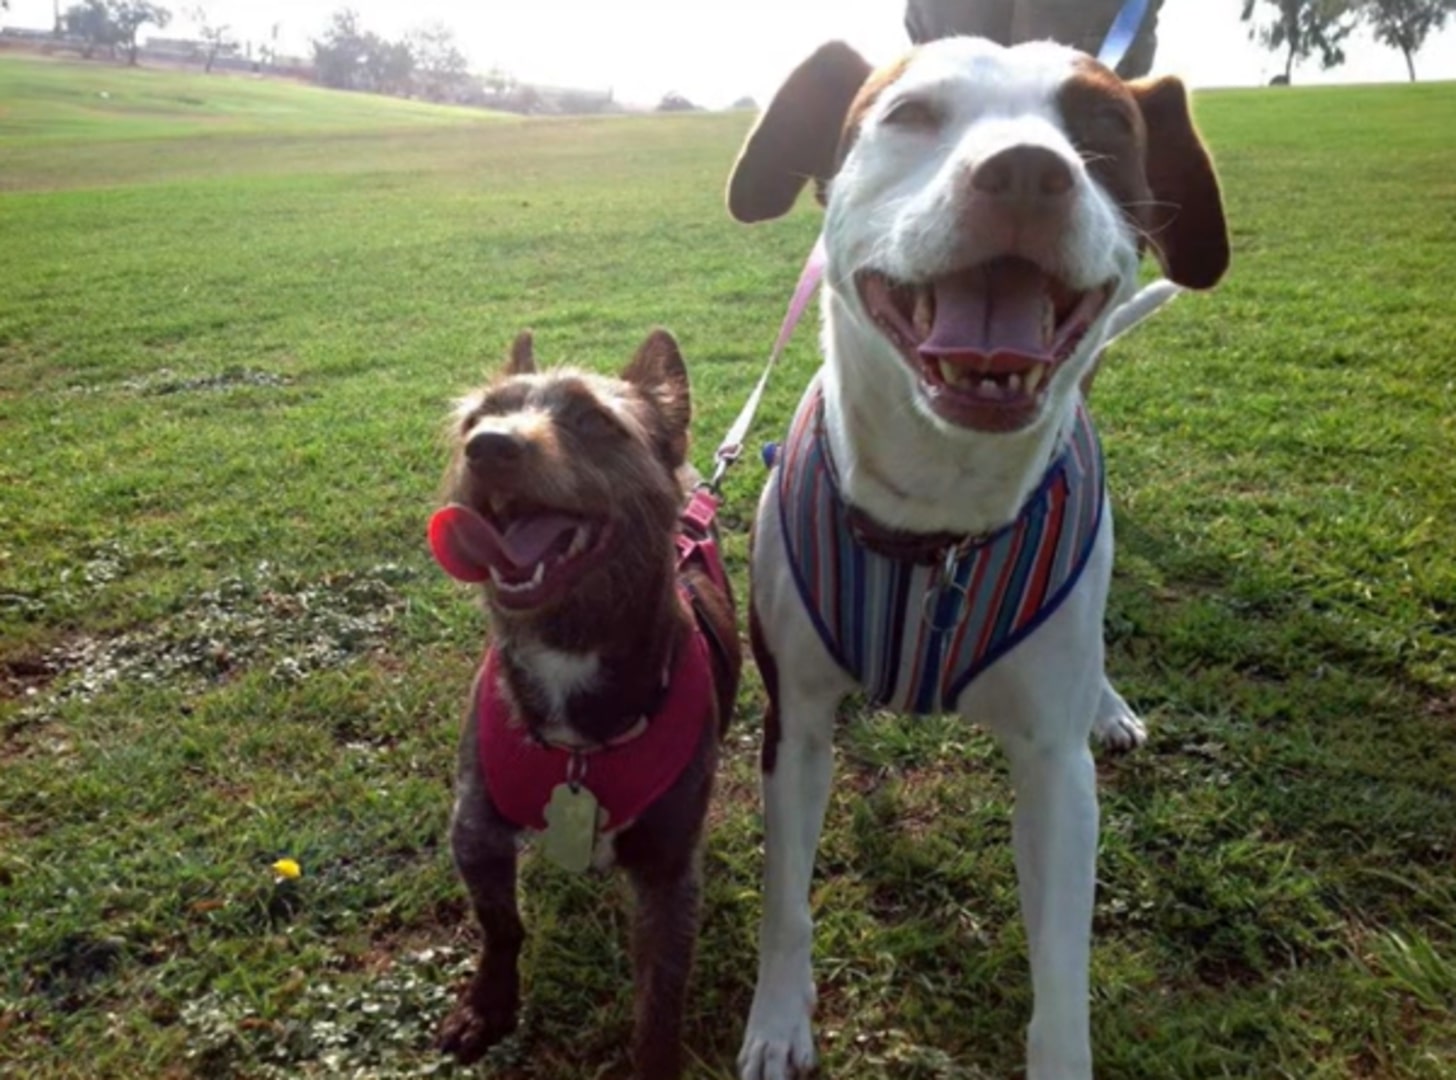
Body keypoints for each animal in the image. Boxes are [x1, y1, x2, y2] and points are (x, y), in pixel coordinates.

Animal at [425, 331, 739, 1080]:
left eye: (596, 421)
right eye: (477, 417)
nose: (489, 446)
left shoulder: (668, 872)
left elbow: (661, 993)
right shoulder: (474, 826)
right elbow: (500, 924)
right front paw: (487, 1005)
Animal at [728, 33, 1228, 1080]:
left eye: (1105, 129)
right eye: (911, 114)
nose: (1030, 170)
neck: (938, 525)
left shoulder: (1054, 777)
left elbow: (1062, 974)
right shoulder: (793, 723)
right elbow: (786, 898)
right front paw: (780, 1019)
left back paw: (1109, 704)